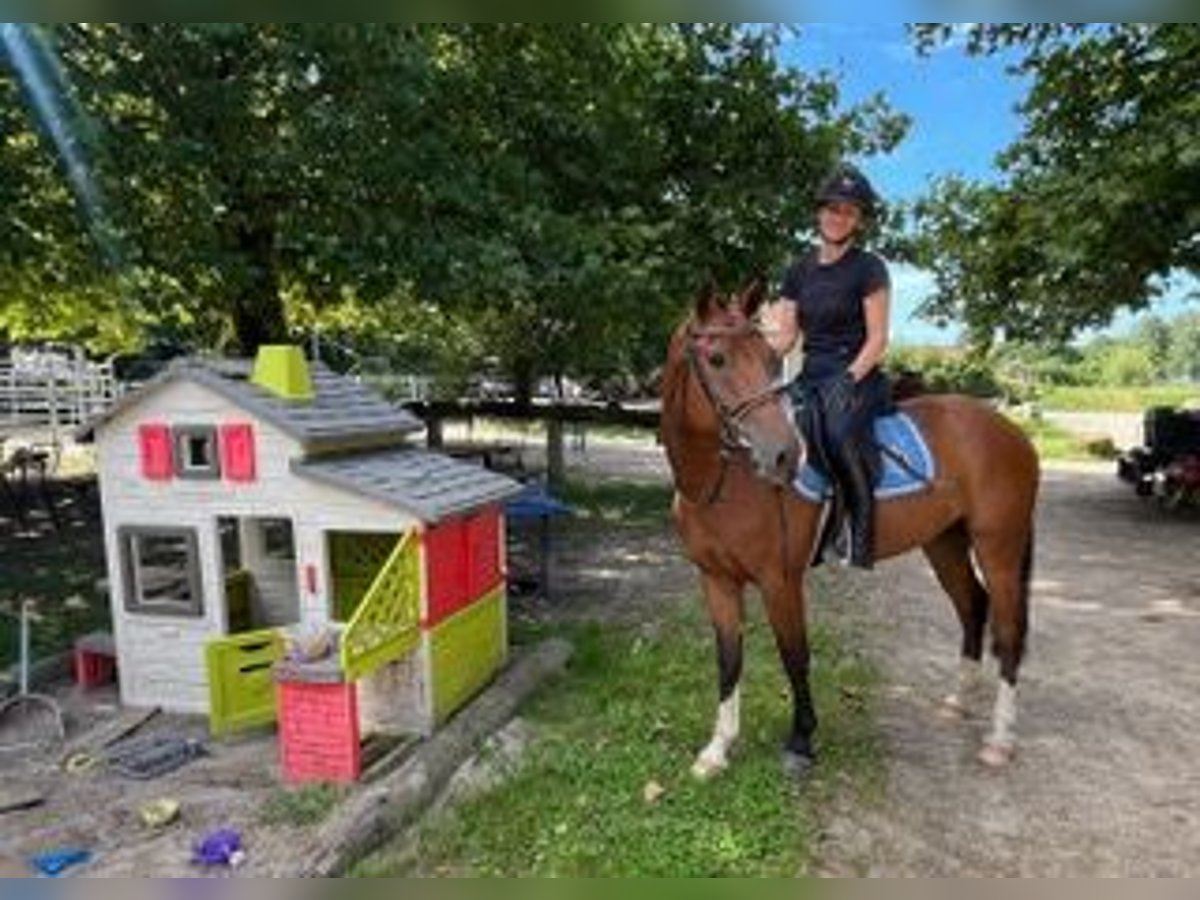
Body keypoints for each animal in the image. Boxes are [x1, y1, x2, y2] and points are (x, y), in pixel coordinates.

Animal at [660, 279, 1039, 778]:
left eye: (770, 359)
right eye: (717, 359)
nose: (783, 455)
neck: (724, 481)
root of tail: (1013, 433)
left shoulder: (780, 581)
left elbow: (795, 656)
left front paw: (801, 742)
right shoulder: (717, 580)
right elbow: (728, 659)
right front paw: (717, 749)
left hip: (999, 549)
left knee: (1009, 631)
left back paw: (999, 739)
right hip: (945, 544)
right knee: (972, 606)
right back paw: (957, 702)